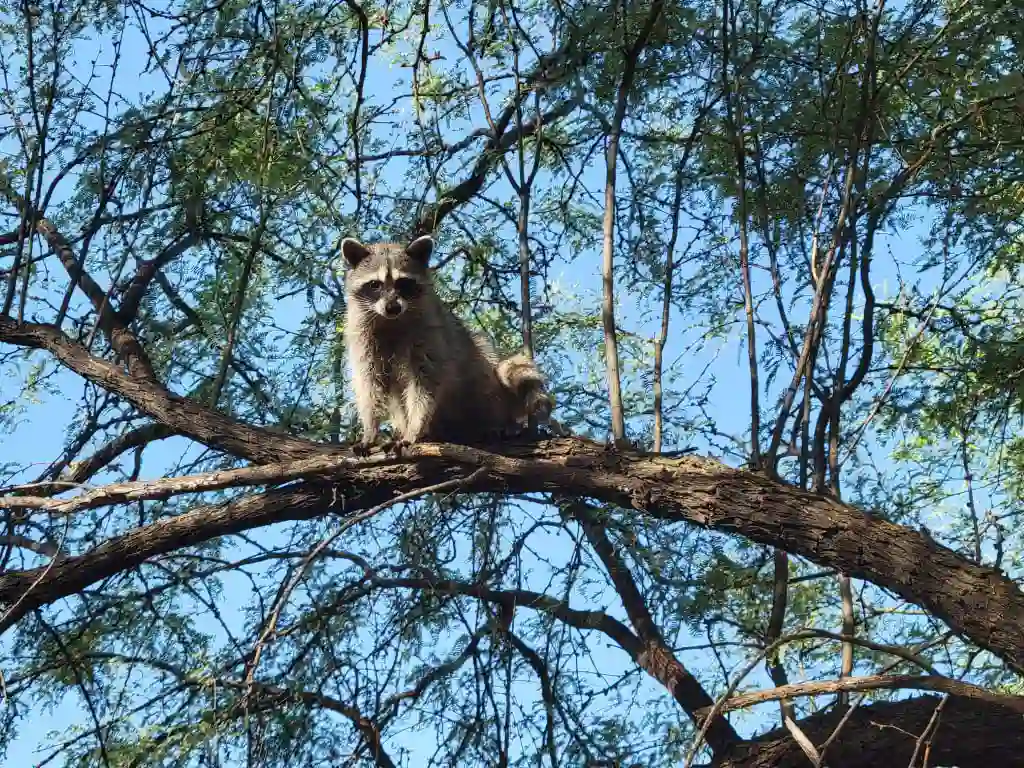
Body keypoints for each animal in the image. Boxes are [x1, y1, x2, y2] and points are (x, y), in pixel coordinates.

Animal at [340, 235, 553, 454]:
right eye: (375, 284)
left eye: (403, 283)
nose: (392, 307)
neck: (391, 321)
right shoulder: (362, 336)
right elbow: (369, 383)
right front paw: (370, 430)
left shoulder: (429, 331)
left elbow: (425, 384)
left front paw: (413, 429)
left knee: (495, 363)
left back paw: (500, 425)